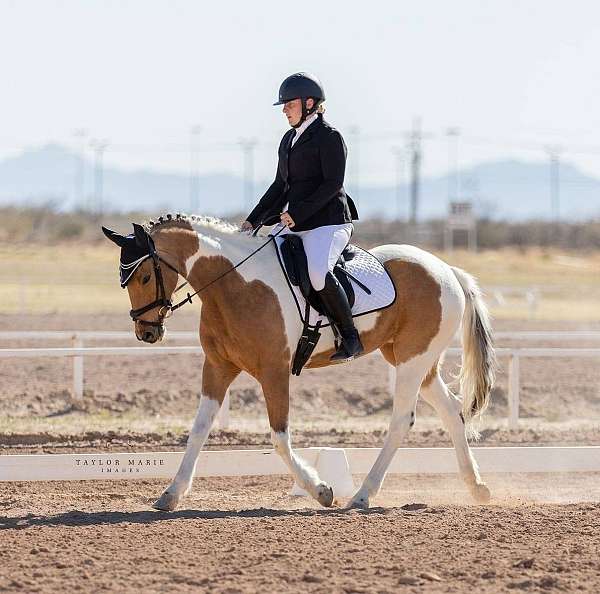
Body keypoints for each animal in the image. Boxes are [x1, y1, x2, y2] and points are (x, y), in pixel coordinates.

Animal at [103, 213, 494, 508]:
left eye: (145, 275)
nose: (146, 332)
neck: (236, 283)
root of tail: (446, 269)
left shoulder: (274, 371)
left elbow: (278, 437)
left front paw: (320, 490)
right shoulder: (217, 367)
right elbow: (198, 429)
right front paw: (171, 493)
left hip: (413, 360)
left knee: (401, 420)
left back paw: (362, 496)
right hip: (412, 359)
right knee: (453, 410)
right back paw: (476, 487)